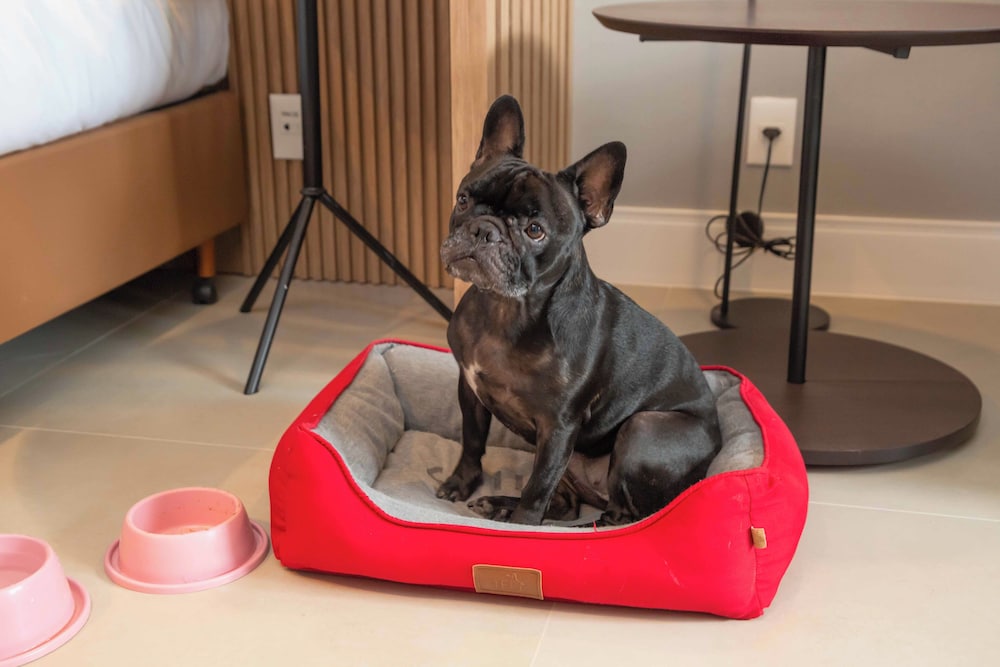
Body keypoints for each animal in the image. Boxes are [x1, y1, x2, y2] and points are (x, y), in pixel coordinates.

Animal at [437, 95, 722, 526]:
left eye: (535, 230)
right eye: (464, 199)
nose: (484, 229)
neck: (506, 309)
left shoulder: (558, 428)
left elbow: (536, 489)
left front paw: (522, 531)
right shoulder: (469, 389)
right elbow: (472, 441)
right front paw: (461, 483)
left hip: (643, 429)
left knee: (619, 517)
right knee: (565, 503)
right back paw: (499, 503)